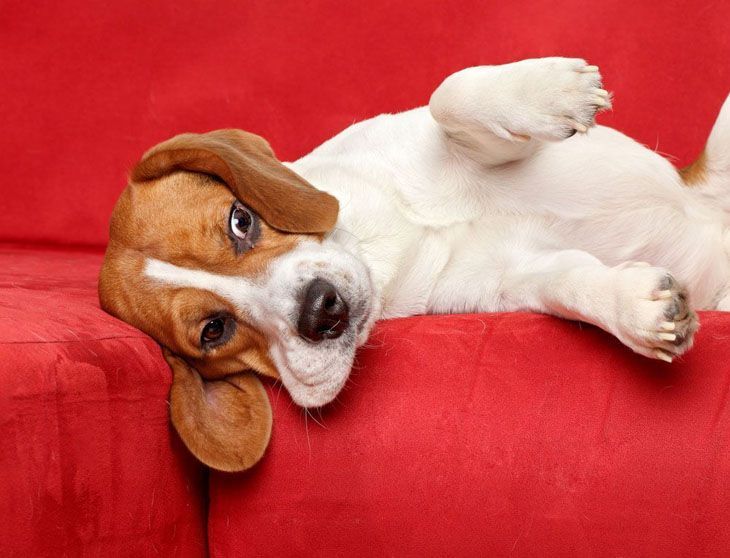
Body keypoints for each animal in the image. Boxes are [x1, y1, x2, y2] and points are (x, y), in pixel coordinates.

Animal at [98, 59, 728, 472]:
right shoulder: (515, 276)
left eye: (240, 220)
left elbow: (449, 95)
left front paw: (551, 90)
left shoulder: (435, 128)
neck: (384, 246)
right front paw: (635, 308)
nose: (321, 311)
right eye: (214, 330)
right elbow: (573, 281)